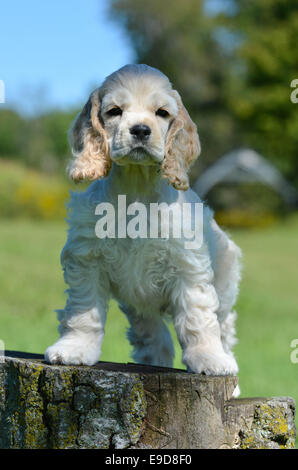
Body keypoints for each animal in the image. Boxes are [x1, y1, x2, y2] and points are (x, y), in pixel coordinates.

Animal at [44, 63, 242, 386]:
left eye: (162, 112)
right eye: (114, 111)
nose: (140, 130)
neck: (136, 189)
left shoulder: (188, 267)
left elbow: (198, 318)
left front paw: (209, 359)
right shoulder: (87, 260)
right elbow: (84, 311)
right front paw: (73, 349)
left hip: (224, 284)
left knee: (224, 326)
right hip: (139, 304)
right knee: (153, 336)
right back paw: (153, 362)